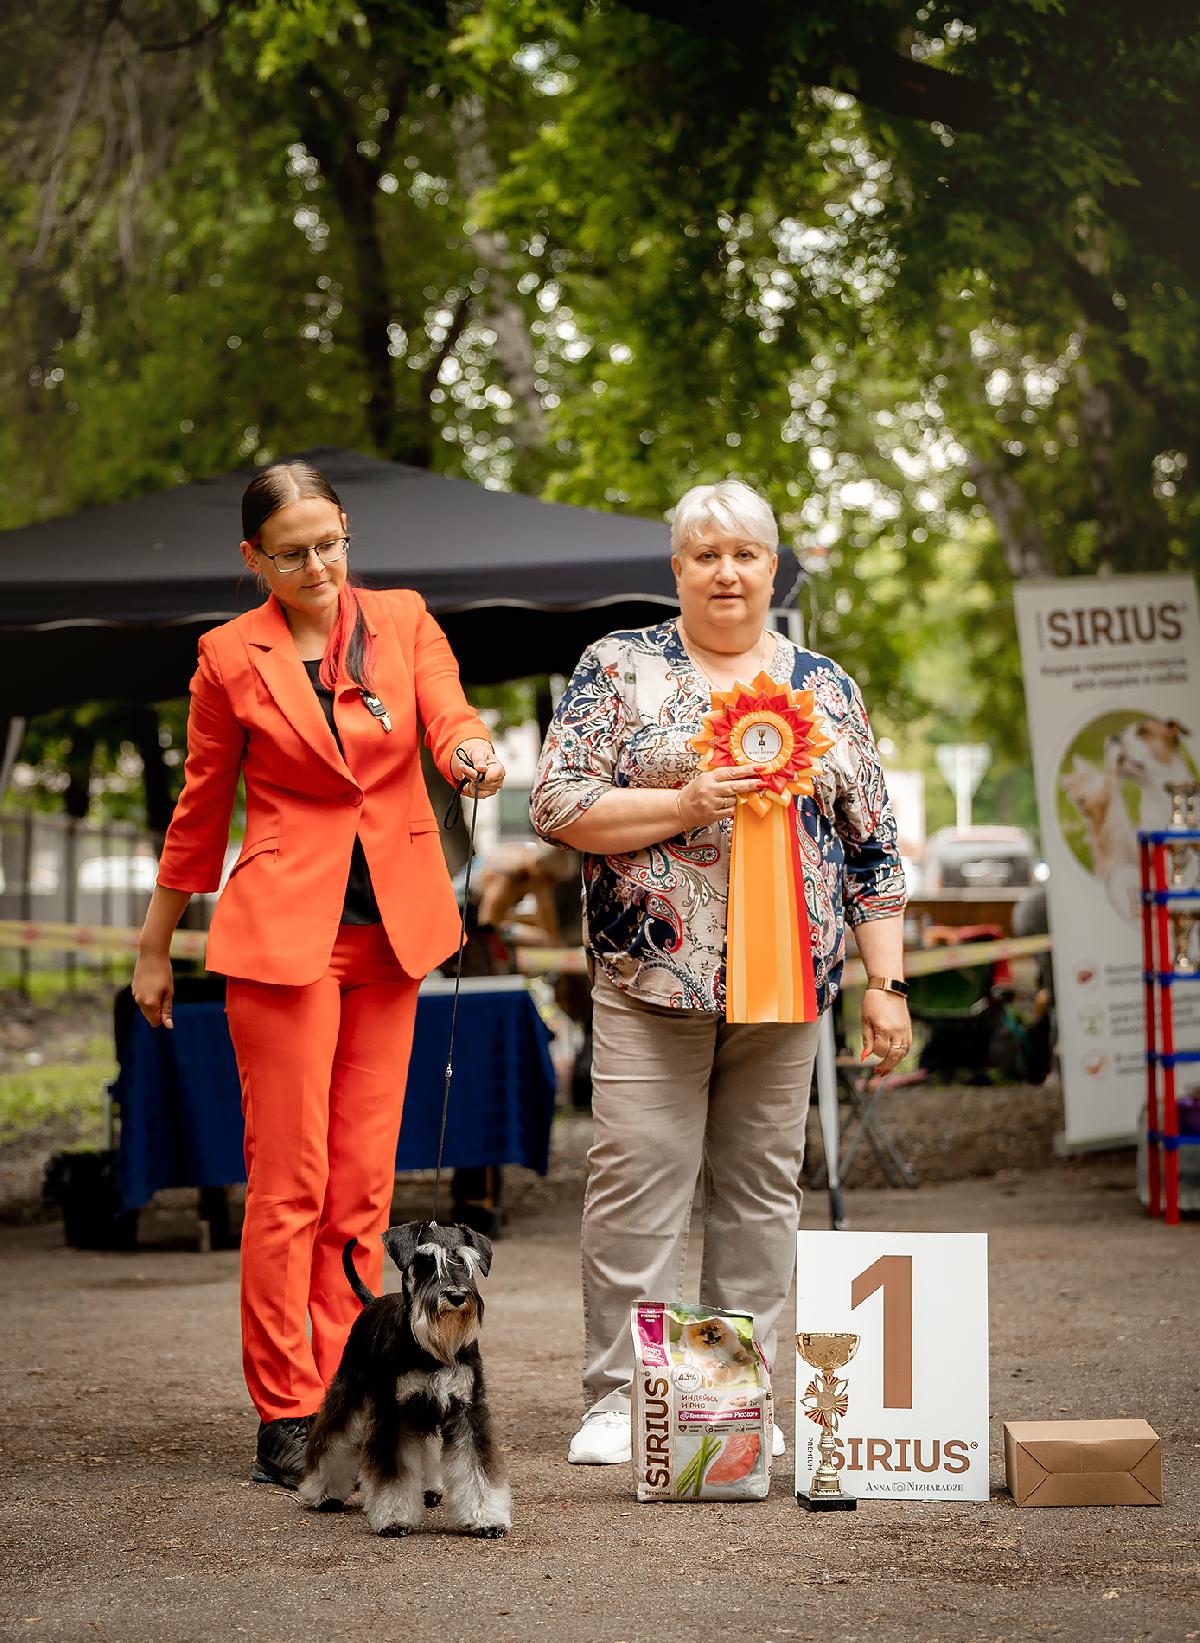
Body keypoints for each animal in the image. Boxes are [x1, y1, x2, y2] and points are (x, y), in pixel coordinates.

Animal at [298, 1221, 511, 1538]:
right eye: (427, 1261)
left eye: (466, 1262)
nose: (457, 1296)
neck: (433, 1350)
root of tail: (373, 1302)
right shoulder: (394, 1413)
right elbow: (394, 1472)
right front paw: (394, 1518)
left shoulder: (467, 1410)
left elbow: (476, 1469)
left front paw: (486, 1517)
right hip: (350, 1391)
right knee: (332, 1438)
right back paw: (322, 1492)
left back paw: (429, 1489)